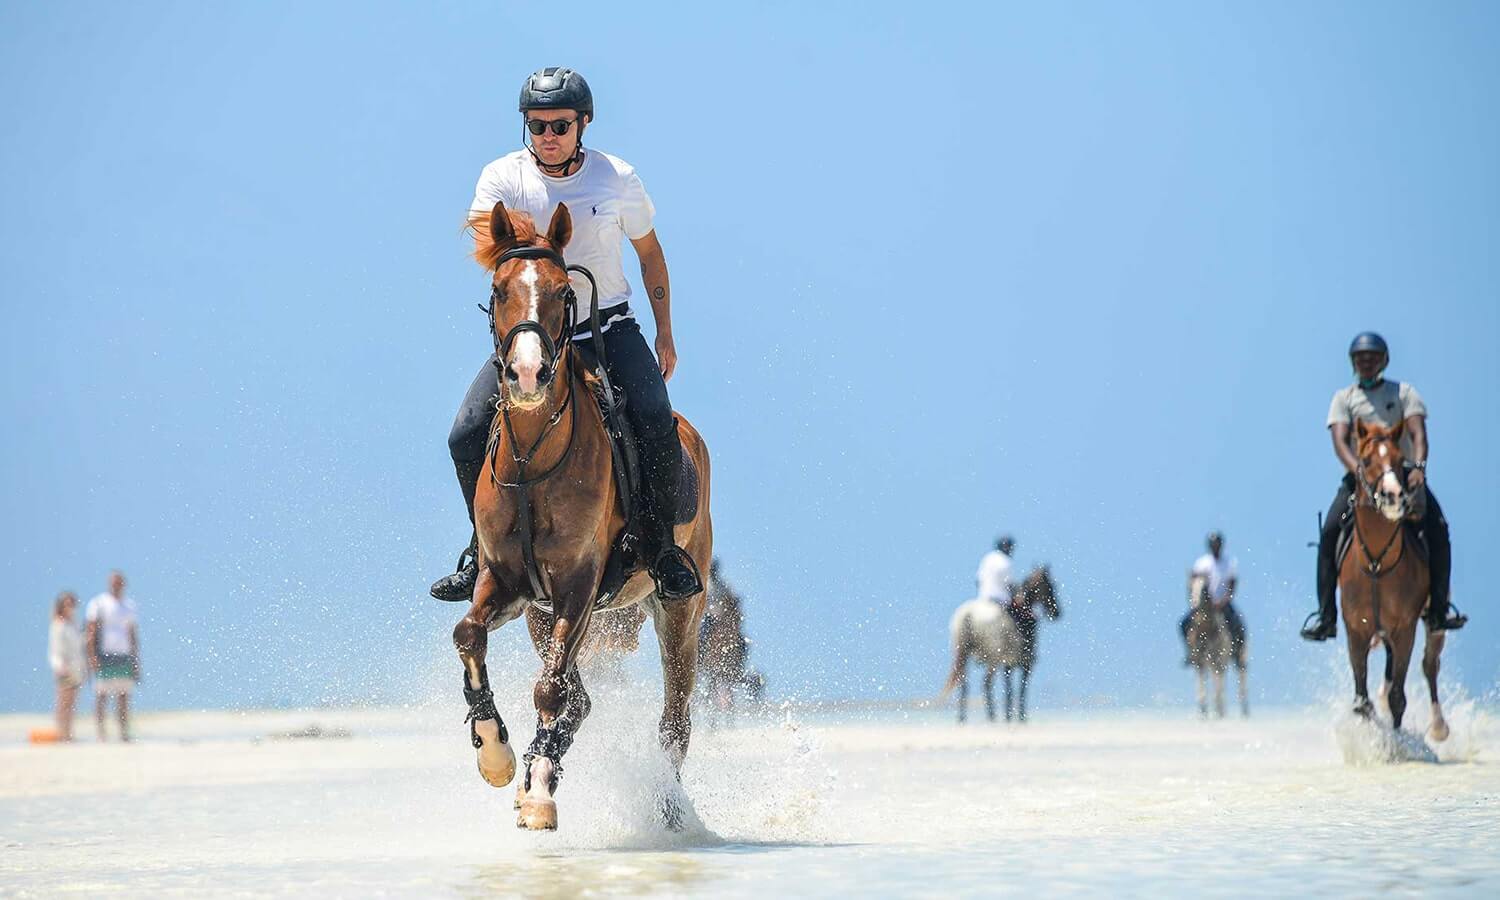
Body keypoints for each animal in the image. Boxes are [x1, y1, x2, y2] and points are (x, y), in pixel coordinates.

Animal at [444, 202, 714, 828]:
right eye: (498, 290)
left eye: (565, 292)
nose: (527, 374)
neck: (532, 457)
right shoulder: (507, 583)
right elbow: (468, 633)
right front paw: (496, 756)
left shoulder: (579, 587)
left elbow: (550, 690)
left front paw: (540, 794)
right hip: (540, 617)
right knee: (583, 697)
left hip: (679, 612)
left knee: (674, 719)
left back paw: (666, 807)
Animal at [942, 570, 1062, 723]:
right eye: (1050, 586)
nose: (1057, 612)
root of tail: (967, 614)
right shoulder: (1024, 664)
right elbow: (1020, 690)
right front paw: (1019, 717)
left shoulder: (1008, 664)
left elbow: (1010, 690)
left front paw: (1009, 716)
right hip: (993, 659)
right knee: (986, 683)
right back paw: (991, 716)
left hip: (964, 655)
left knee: (963, 683)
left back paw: (963, 718)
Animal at [1344, 417, 1446, 741]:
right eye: (1365, 460)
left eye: (1402, 461)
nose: (1393, 495)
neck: (1377, 563)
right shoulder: (1356, 630)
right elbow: (1361, 701)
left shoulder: (1405, 629)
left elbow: (1399, 697)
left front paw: (1396, 743)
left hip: (1432, 620)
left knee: (1430, 664)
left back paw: (1439, 727)